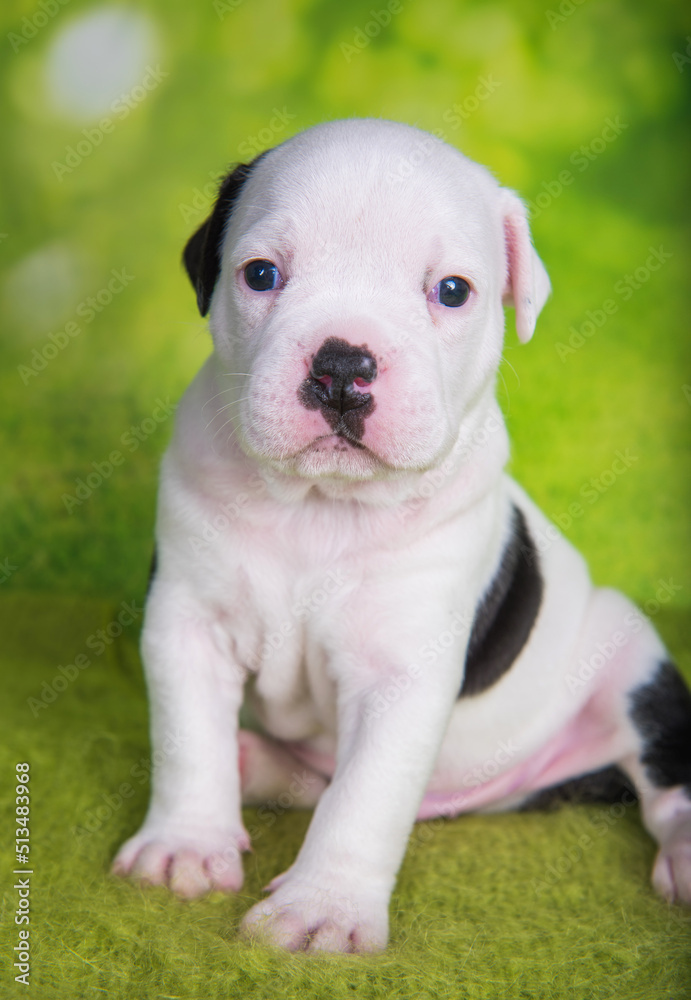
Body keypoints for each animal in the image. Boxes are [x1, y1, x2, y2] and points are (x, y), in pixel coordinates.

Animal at [113, 119, 691, 952]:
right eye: (260, 274)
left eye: (451, 291)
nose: (341, 367)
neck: (320, 506)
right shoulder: (188, 620)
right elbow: (187, 740)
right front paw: (185, 845)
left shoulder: (402, 670)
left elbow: (363, 797)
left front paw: (323, 907)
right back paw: (251, 761)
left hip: (632, 661)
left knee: (667, 782)